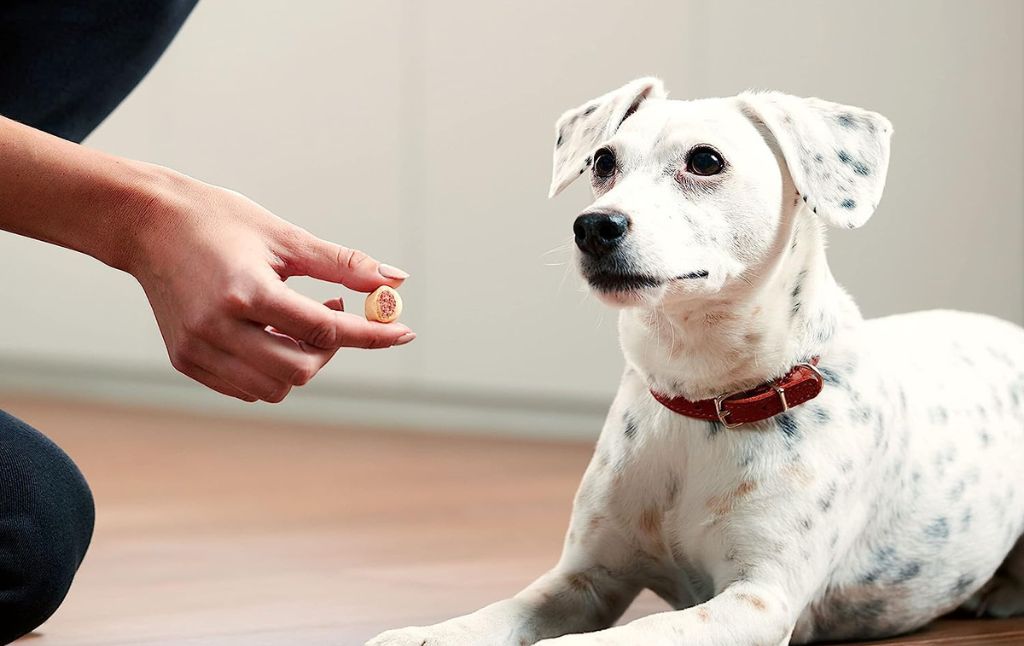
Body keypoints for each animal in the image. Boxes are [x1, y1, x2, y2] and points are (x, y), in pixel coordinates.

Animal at [368, 78, 1024, 642]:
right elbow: (501, 612)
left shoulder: (758, 599)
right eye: (602, 162)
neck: (704, 399)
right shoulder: (585, 578)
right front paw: (425, 633)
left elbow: (630, 636)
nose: (593, 226)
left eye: (706, 161)